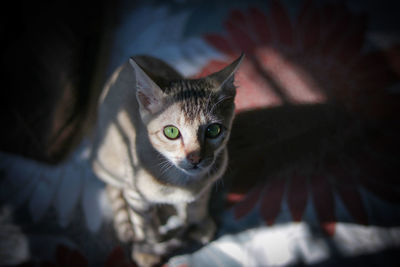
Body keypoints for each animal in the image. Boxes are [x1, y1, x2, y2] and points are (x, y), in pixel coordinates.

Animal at [90, 53, 244, 266]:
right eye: (171, 132)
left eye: (214, 130)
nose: (195, 158)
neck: (183, 182)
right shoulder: (135, 194)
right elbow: (144, 225)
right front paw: (148, 248)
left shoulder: (207, 182)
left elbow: (199, 203)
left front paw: (198, 223)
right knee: (113, 187)